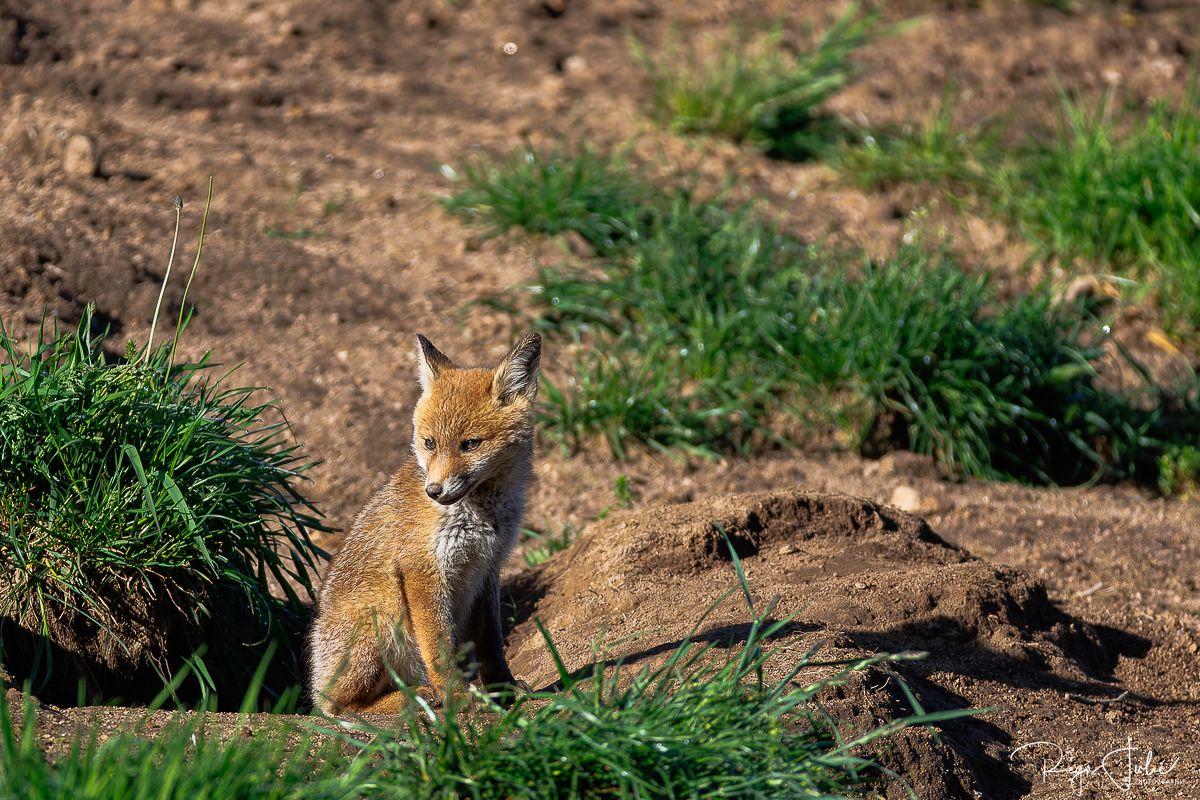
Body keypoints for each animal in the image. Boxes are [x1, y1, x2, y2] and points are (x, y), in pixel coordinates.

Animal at [307, 331, 542, 714]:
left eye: (470, 444)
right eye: (429, 443)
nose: (433, 490)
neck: (481, 516)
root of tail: (316, 684)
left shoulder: (488, 568)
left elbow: (492, 644)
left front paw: (503, 691)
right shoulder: (422, 569)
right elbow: (438, 647)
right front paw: (457, 697)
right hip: (382, 613)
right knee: (342, 708)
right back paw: (416, 698)